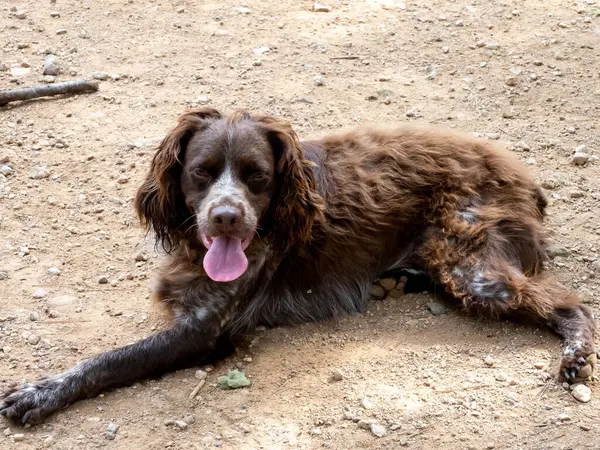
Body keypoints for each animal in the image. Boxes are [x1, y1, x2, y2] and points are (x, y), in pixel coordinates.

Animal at [1, 107, 596, 424]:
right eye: (201, 172)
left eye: (257, 176)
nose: (226, 218)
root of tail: (523, 176)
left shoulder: (203, 332)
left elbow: (107, 360)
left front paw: (40, 392)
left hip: (468, 264)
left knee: (569, 303)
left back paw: (575, 356)